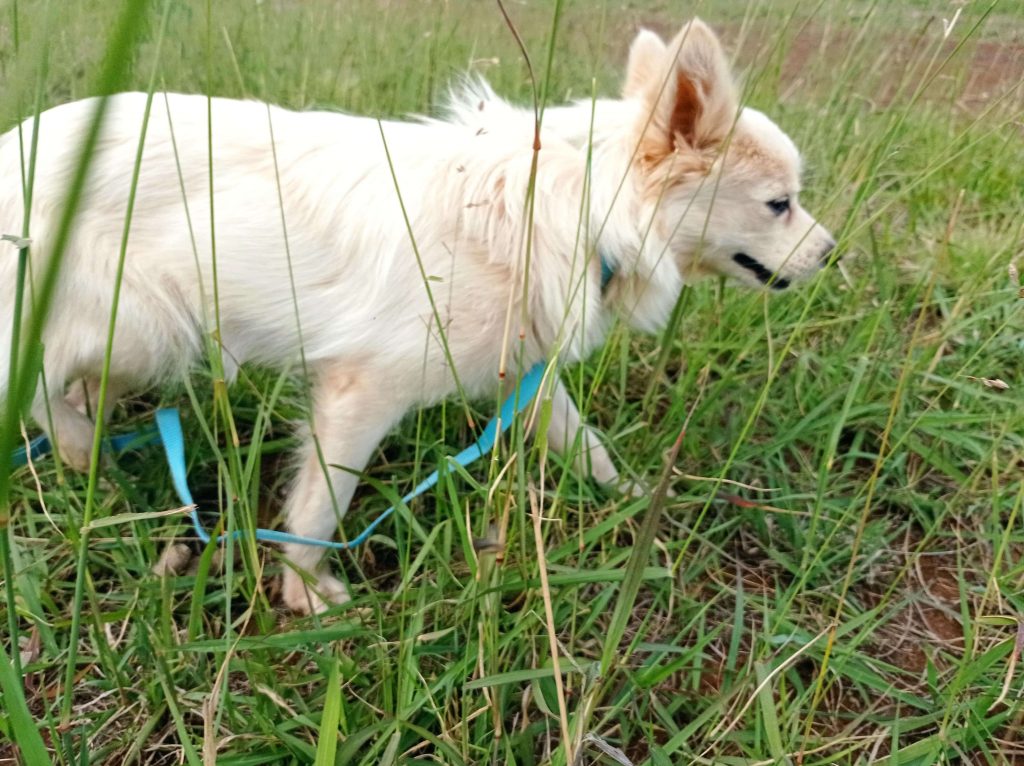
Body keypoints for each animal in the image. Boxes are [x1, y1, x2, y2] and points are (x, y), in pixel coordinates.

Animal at [0, 20, 831, 614]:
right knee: (37, 387)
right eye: (779, 205)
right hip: (146, 325)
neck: (578, 207)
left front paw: (632, 500)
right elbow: (321, 504)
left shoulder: (526, 378)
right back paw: (81, 448)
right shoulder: (362, 394)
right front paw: (305, 590)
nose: (831, 253)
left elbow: (586, 445)